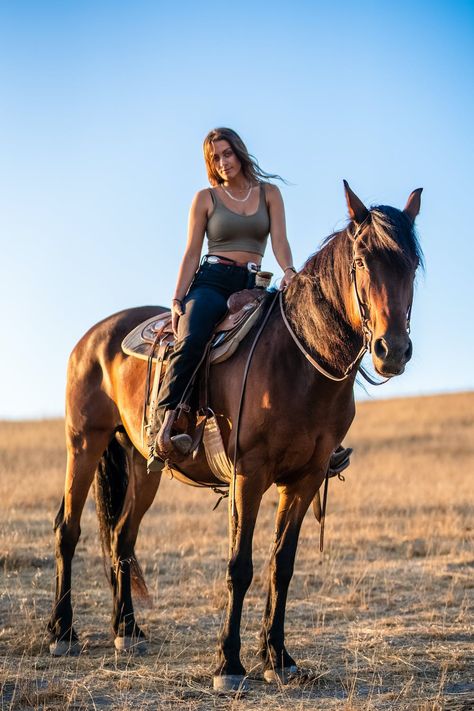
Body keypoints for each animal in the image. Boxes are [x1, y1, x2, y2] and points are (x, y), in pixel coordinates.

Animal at [47, 182, 422, 688]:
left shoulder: (305, 478)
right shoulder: (250, 473)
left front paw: (278, 658)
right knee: (68, 529)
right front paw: (229, 663)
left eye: (412, 265)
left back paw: (128, 630)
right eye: (362, 260)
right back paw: (62, 632)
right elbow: (240, 566)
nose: (392, 351)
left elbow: (282, 565)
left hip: (143, 463)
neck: (300, 362)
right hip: (84, 442)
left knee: (123, 537)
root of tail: (92, 337)